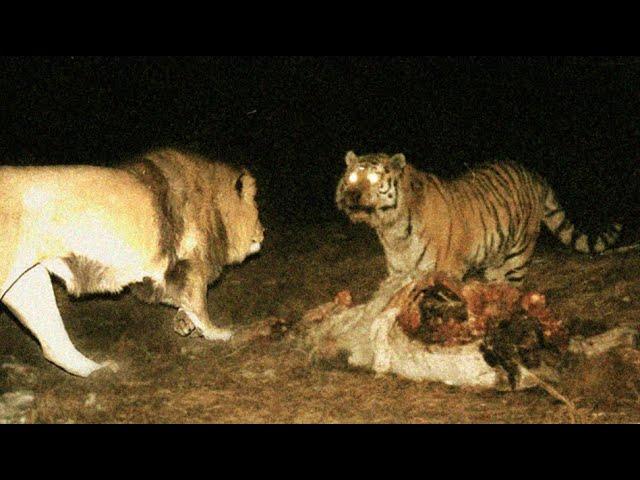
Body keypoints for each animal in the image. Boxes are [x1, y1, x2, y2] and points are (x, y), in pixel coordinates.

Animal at [0, 148, 264, 376]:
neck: (212, 202)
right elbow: (198, 302)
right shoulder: (188, 265)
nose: (264, 232)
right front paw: (218, 334)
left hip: (28, 281)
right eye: (256, 209)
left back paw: (99, 372)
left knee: (54, 345)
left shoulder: (158, 276)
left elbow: (183, 301)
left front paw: (184, 323)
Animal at [338, 152, 624, 284]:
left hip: (518, 256)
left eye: (373, 177)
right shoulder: (398, 272)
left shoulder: (446, 269)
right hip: (495, 258)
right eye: (351, 177)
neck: (392, 230)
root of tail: (534, 175)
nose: (352, 195)